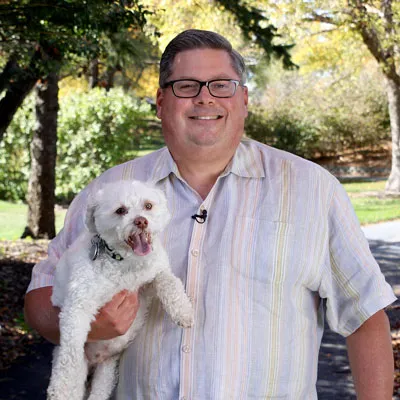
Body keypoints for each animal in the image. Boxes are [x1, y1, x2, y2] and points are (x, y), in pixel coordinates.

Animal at [47, 181, 194, 400]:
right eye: (120, 210)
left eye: (148, 206)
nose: (141, 221)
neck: (126, 262)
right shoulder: (78, 304)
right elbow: (71, 350)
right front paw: (62, 386)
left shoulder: (151, 278)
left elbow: (169, 281)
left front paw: (183, 311)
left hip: (107, 370)